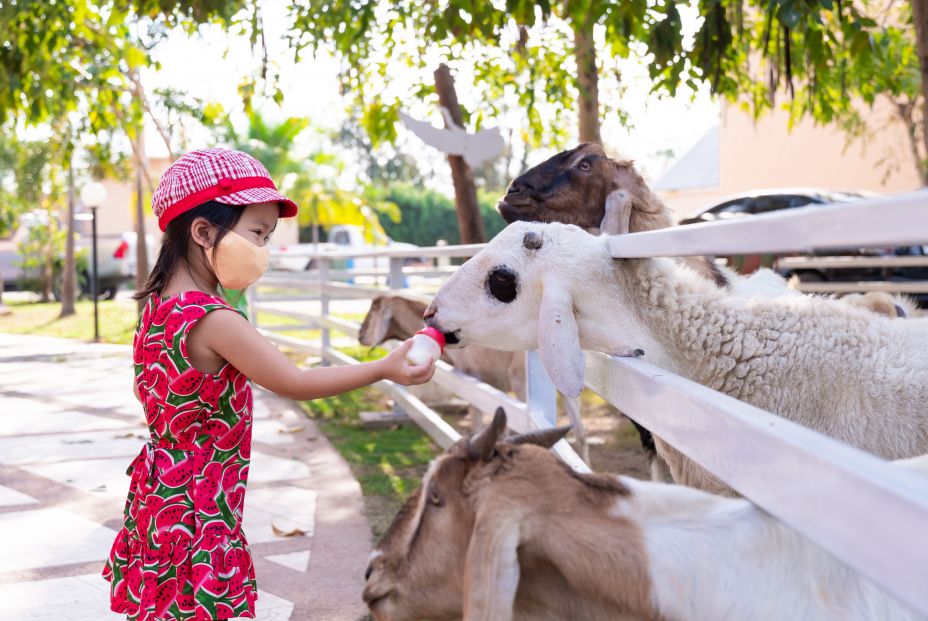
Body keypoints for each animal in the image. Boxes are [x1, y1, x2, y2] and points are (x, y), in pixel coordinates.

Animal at [358, 294, 592, 460]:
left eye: (374, 310)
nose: (360, 335)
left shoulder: (475, 382)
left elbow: (479, 427)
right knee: (580, 433)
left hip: (522, 383)